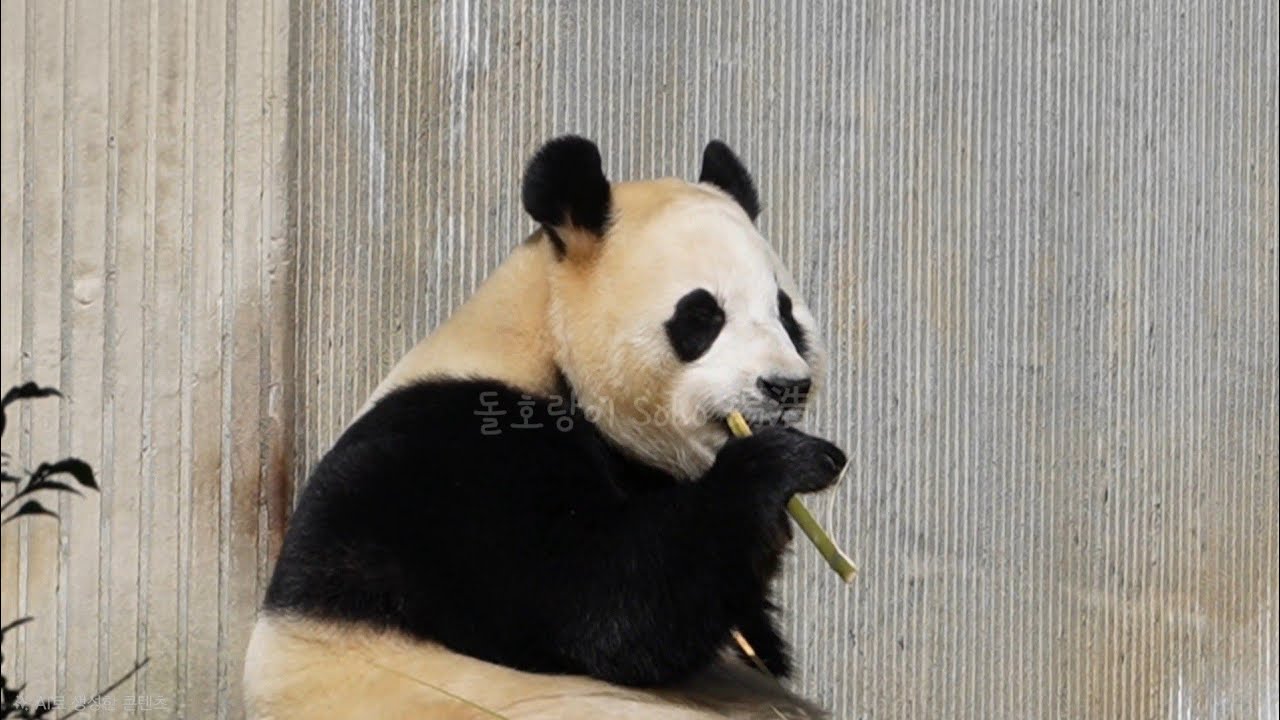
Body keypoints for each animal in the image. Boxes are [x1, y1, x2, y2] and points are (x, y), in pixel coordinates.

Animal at [244, 137, 847, 720]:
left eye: (786, 312)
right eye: (702, 316)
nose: (785, 386)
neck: (540, 338)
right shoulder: (457, 463)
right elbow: (601, 602)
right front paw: (783, 466)